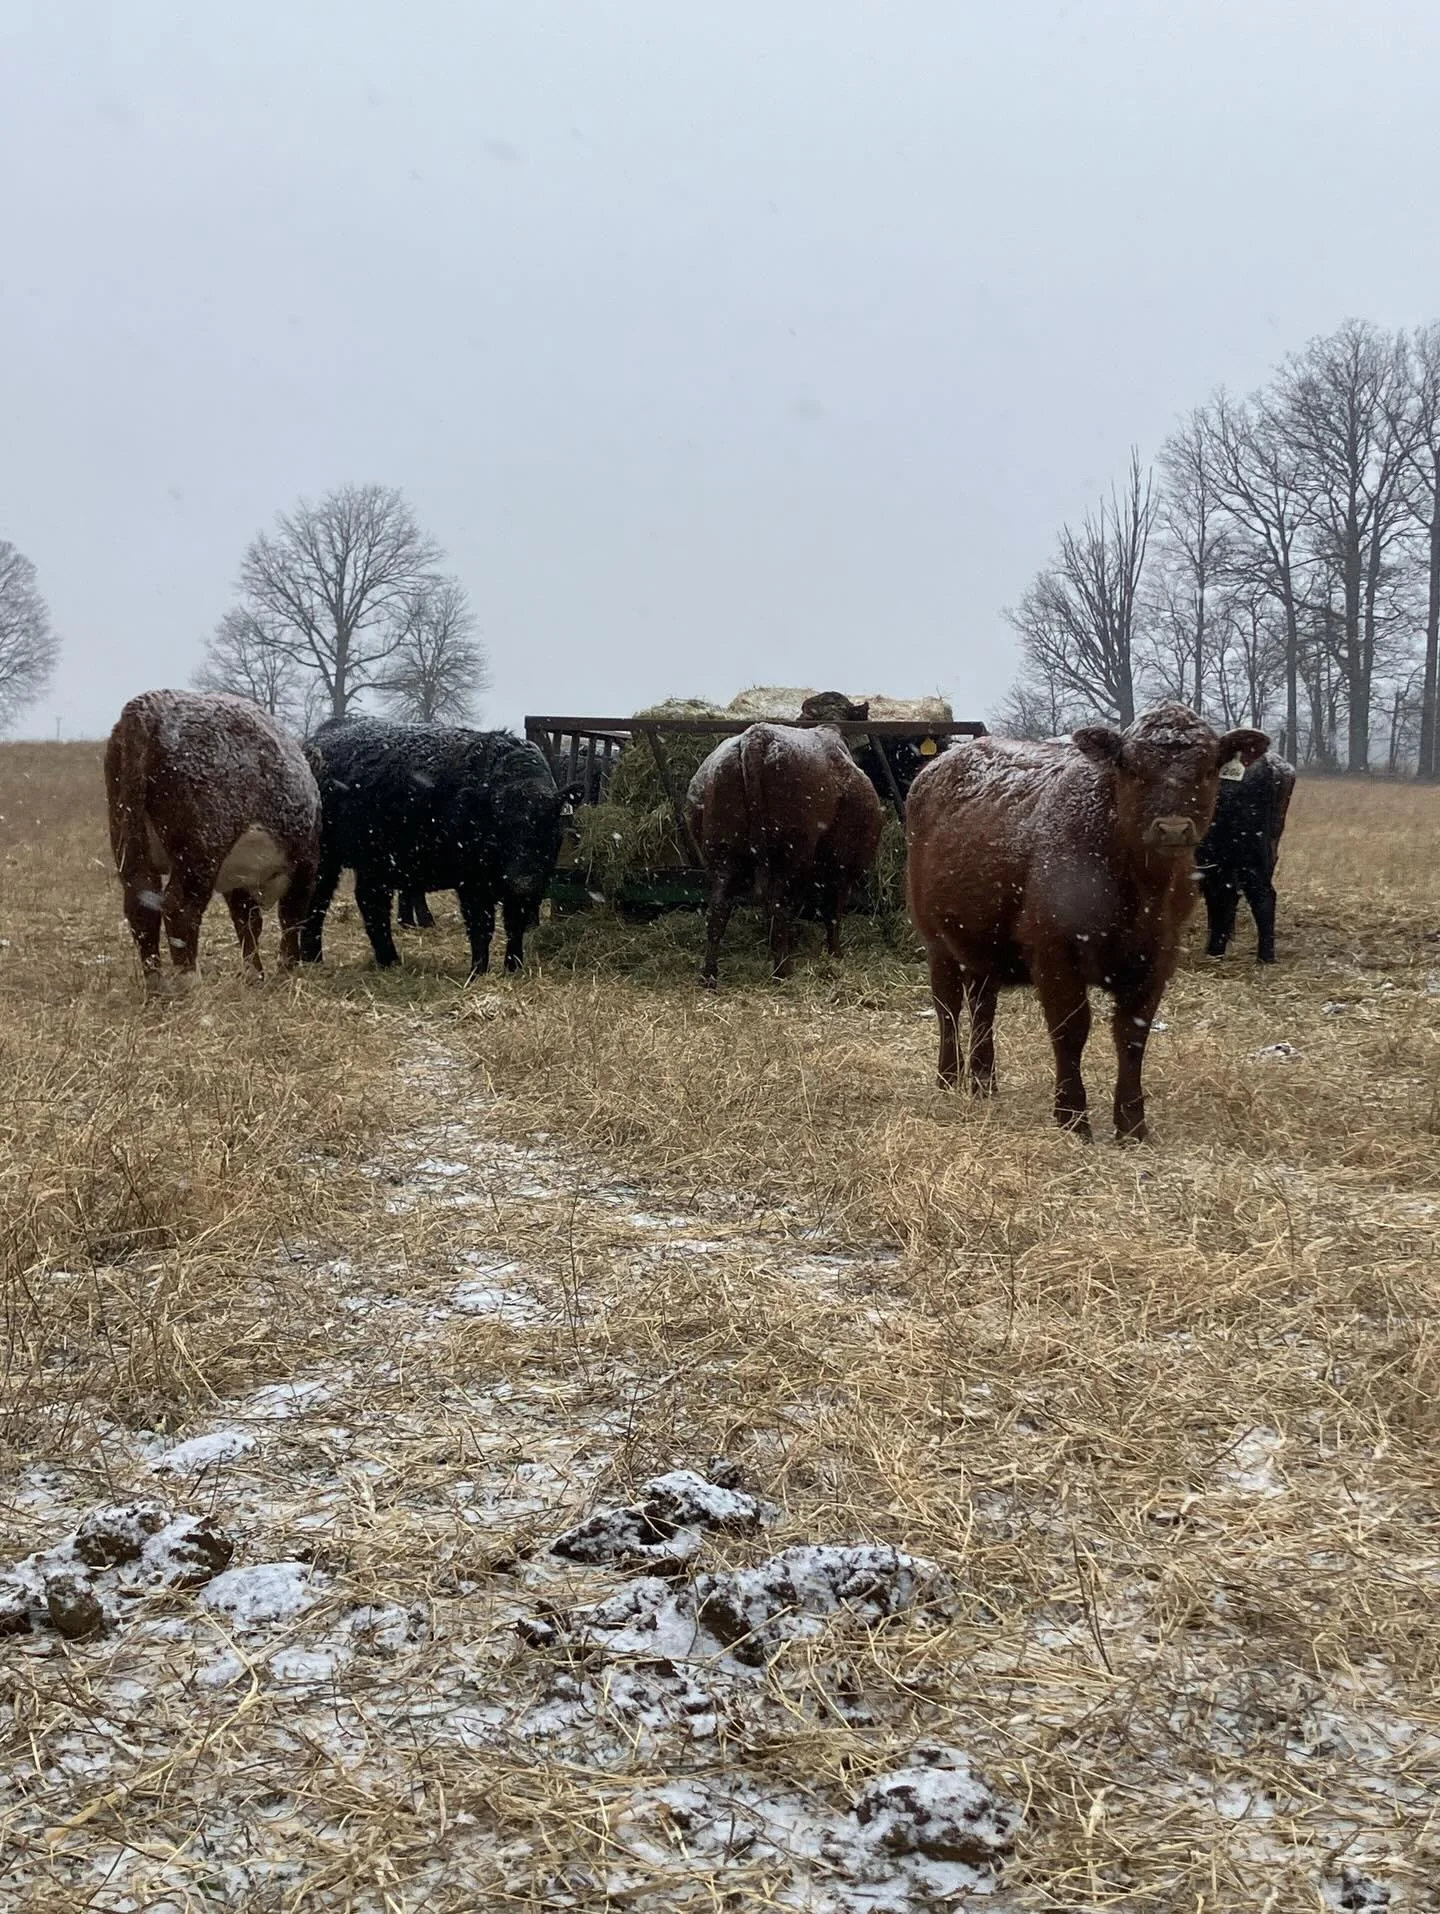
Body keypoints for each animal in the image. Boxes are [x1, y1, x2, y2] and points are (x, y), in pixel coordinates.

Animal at [104, 689, 320, 988]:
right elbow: (291, 918)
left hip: (127, 838)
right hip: (201, 852)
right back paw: (190, 981)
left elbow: (248, 923)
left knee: (141, 902)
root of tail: (149, 705)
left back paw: (155, 984)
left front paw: (254, 975)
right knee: (180, 909)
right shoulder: (305, 865)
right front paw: (287, 970)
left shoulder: (237, 877)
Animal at [300, 716, 567, 978]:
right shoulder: (472, 882)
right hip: (326, 858)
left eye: (547, 826)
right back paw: (313, 957)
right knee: (319, 901)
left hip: (375, 862)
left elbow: (515, 926)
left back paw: (388, 960)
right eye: (500, 826)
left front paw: (514, 968)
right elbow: (482, 926)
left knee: (370, 902)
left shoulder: (527, 888)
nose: (523, 882)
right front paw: (478, 971)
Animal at [685, 692, 885, 985]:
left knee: (719, 910)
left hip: (723, 855)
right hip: (790, 854)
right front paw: (834, 953)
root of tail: (757, 736)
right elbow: (833, 910)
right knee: (780, 905)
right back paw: (783, 970)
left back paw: (710, 975)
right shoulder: (842, 866)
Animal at [905, 703, 1269, 1141]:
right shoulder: (1054, 950)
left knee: (982, 1006)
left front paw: (1132, 1125)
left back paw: (983, 1081)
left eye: (1208, 768)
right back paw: (947, 1078)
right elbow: (1070, 1028)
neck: (1139, 886)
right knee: (948, 1006)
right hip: (935, 939)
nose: (1173, 828)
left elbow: (1132, 1035)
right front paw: (1072, 1117)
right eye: (1131, 768)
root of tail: (941, 762)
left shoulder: (1158, 956)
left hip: (981, 941)